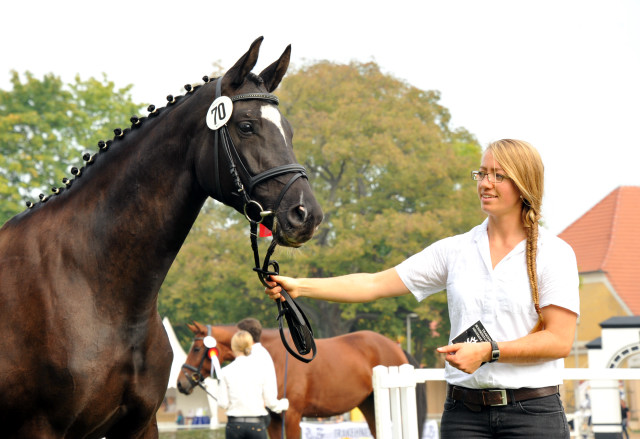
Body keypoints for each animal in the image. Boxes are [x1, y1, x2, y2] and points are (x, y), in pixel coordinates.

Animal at [176, 324, 424, 439]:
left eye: (196, 348)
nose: (181, 383)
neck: (272, 356)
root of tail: (395, 346)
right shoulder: (275, 420)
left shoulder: (292, 416)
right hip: (369, 404)